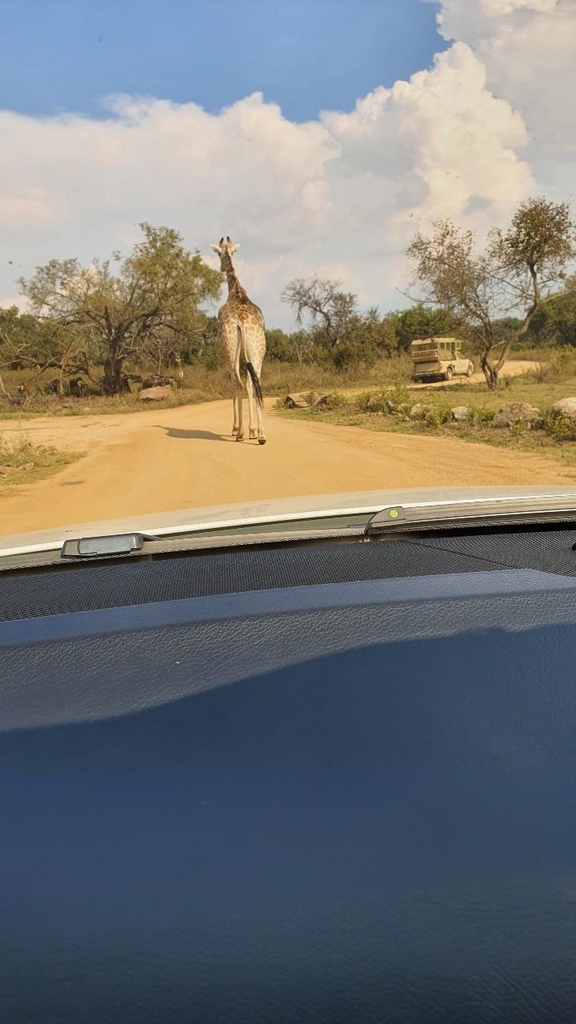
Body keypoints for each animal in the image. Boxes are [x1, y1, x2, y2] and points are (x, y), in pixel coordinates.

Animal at [210, 235, 266, 444]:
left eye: (219, 253)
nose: (221, 268)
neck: (237, 291)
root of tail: (241, 321)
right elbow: (251, 384)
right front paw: (253, 430)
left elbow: (235, 384)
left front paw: (237, 429)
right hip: (257, 350)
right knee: (255, 383)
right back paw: (262, 435)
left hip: (230, 348)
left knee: (237, 382)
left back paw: (240, 433)